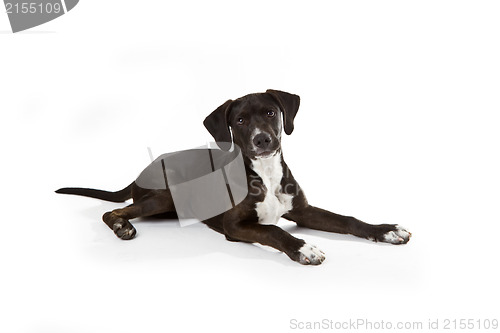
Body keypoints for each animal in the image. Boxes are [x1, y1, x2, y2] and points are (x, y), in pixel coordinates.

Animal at [56, 89, 412, 264]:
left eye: (270, 112)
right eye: (239, 120)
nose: (262, 140)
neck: (265, 173)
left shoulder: (303, 211)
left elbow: (348, 219)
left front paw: (386, 230)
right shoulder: (234, 226)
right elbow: (274, 232)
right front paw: (302, 248)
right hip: (165, 195)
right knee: (113, 211)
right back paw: (121, 226)